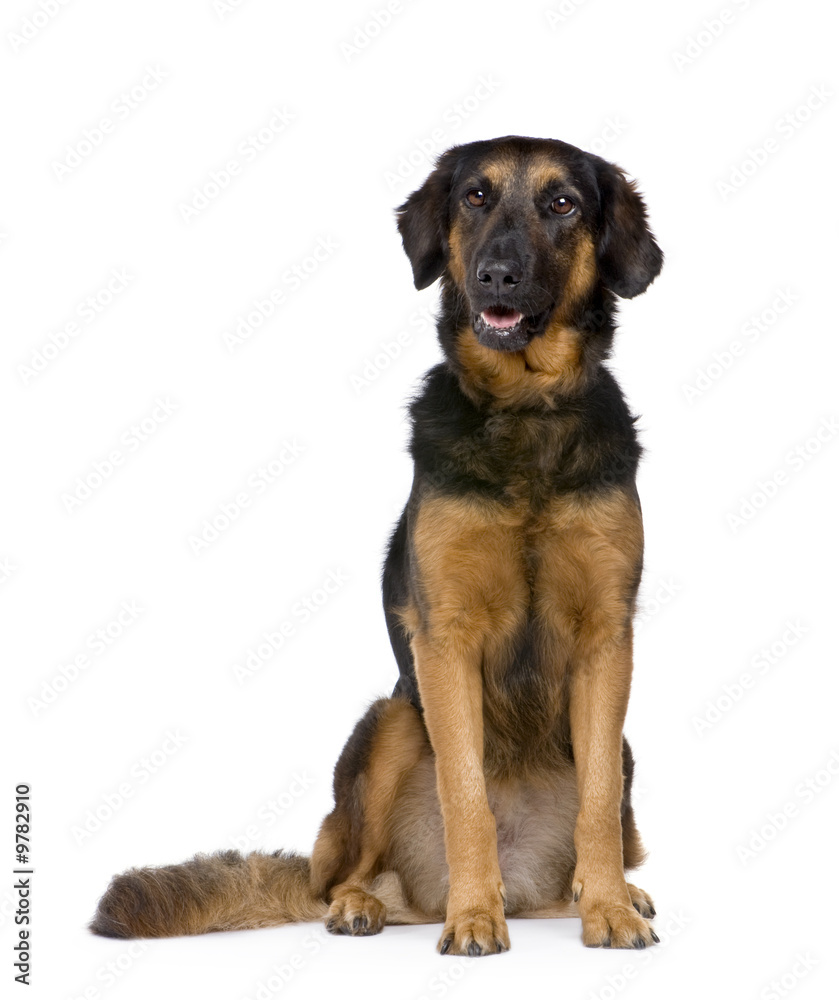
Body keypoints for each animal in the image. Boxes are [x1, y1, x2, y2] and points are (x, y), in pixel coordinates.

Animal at [92, 133, 668, 952]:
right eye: (475, 197)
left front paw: (611, 908)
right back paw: (364, 904)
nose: (497, 274)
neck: (525, 410)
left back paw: (608, 892)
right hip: (389, 723)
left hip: (620, 742)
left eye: (562, 203)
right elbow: (466, 796)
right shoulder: (445, 638)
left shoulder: (606, 640)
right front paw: (473, 916)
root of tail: (529, 887)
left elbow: (595, 804)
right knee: (345, 873)